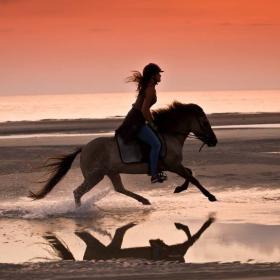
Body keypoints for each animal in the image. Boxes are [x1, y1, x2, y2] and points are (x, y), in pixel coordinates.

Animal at [29, 101, 219, 207]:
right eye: (204, 122)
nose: (214, 141)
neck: (169, 133)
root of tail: (84, 148)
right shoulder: (173, 165)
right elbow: (192, 177)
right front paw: (209, 196)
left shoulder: (174, 165)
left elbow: (190, 174)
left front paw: (181, 189)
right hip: (95, 176)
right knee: (78, 192)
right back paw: (79, 211)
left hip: (111, 172)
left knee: (119, 188)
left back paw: (144, 200)